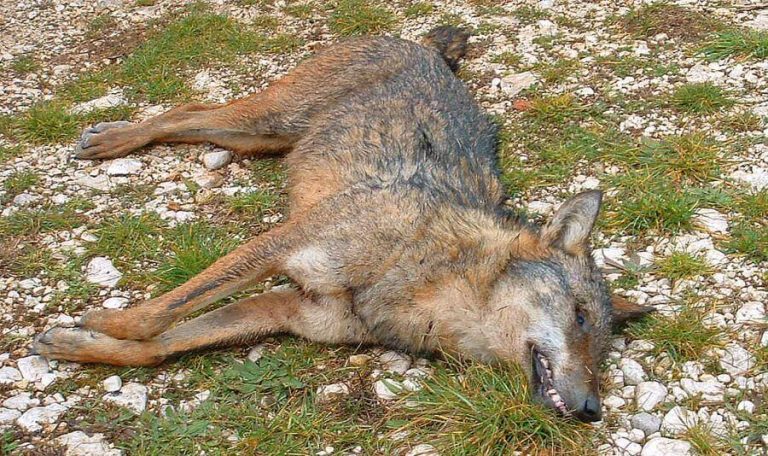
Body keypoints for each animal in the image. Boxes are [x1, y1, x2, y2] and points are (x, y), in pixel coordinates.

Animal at [33, 26, 651, 422]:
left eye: (603, 354)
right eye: (579, 318)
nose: (593, 411)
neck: (420, 270)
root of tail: (425, 50)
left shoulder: (282, 308)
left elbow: (161, 347)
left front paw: (79, 345)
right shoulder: (283, 242)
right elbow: (163, 312)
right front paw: (107, 320)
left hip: (260, 138)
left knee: (195, 119)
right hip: (269, 119)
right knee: (186, 111)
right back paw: (112, 139)